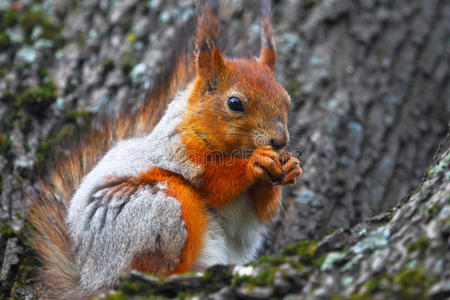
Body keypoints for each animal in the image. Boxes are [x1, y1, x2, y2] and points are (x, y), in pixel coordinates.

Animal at [28, 0, 302, 298]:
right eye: (234, 103)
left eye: (287, 100)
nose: (280, 140)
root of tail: (90, 279)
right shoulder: (180, 152)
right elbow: (216, 182)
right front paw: (255, 162)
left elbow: (261, 210)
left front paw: (290, 167)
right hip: (156, 213)